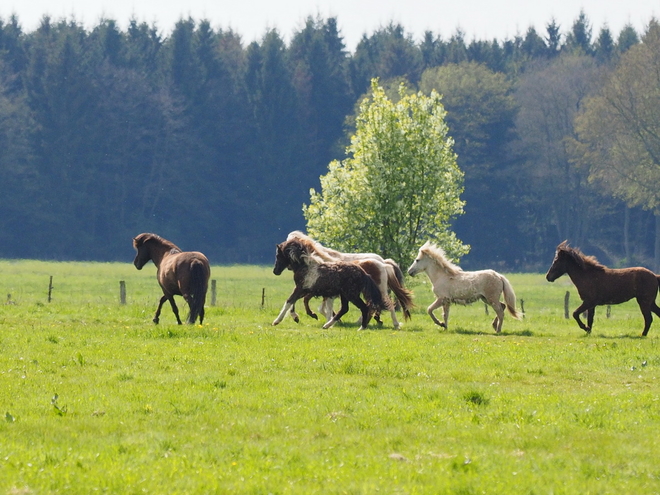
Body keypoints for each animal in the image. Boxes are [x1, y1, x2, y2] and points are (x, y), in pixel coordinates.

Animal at [284, 232, 412, 330]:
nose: (289, 266)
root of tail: (384, 264)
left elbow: (314, 304)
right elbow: (315, 305)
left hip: (378, 290)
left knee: (385, 304)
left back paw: (393, 324)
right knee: (374, 305)